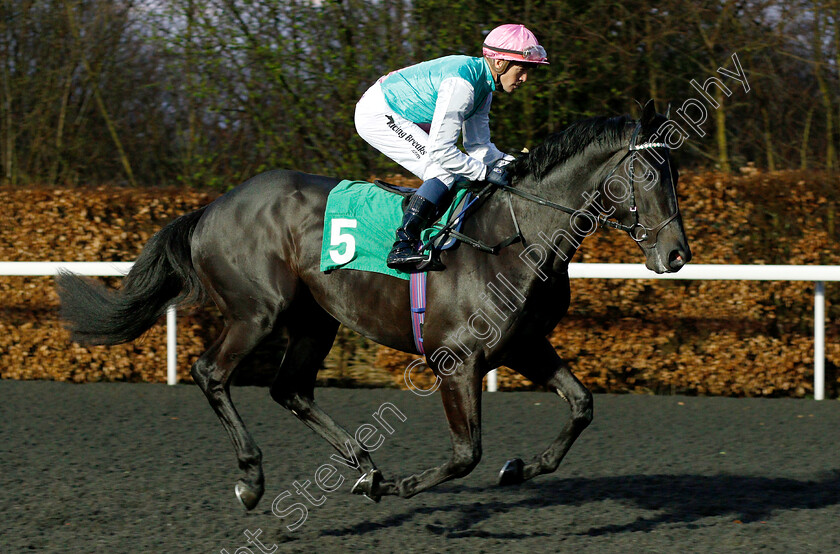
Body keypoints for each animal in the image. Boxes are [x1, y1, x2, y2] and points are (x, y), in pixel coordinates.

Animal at [57, 100, 688, 508]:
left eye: (676, 173)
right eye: (645, 172)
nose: (678, 253)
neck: (519, 235)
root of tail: (212, 208)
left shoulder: (525, 344)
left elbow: (581, 405)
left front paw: (517, 469)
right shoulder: (456, 360)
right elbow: (466, 453)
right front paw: (407, 486)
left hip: (316, 319)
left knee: (290, 389)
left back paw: (364, 468)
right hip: (258, 311)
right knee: (211, 372)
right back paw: (253, 479)